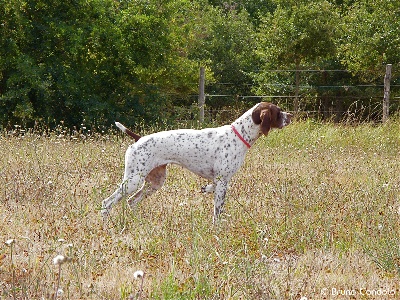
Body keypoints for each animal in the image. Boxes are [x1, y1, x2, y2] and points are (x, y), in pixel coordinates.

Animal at [101, 103, 292, 223]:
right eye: (278, 111)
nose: (291, 115)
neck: (239, 134)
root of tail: (138, 138)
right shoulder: (223, 181)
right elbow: (217, 212)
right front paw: (217, 229)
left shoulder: (219, 180)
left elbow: (211, 188)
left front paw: (205, 188)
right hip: (133, 180)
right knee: (107, 203)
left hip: (154, 182)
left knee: (131, 201)